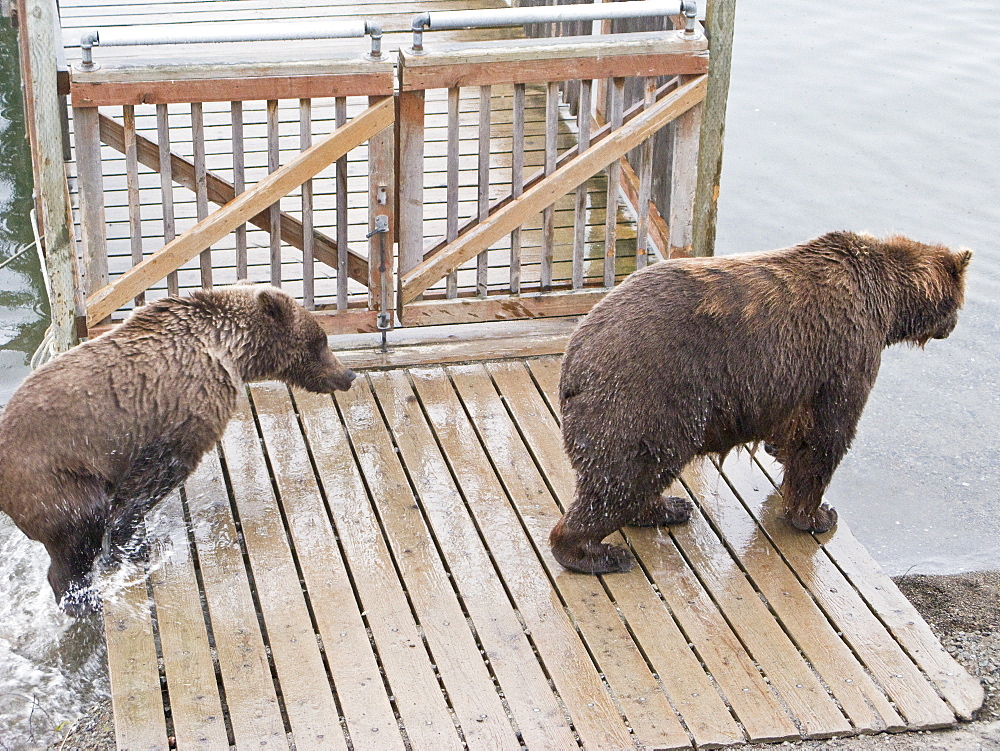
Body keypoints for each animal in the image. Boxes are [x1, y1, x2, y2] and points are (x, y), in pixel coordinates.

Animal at [0, 284, 358, 612]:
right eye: (321, 341)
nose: (348, 374)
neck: (232, 352)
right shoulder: (185, 408)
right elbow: (154, 477)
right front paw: (132, 541)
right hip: (53, 476)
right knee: (76, 533)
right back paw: (83, 598)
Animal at [552, 235, 972, 576]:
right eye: (959, 303)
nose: (952, 326)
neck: (888, 302)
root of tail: (574, 361)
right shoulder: (844, 350)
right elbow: (827, 436)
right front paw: (818, 514)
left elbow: (795, 432)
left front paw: (780, 456)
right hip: (646, 397)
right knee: (624, 477)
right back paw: (596, 552)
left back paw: (668, 508)